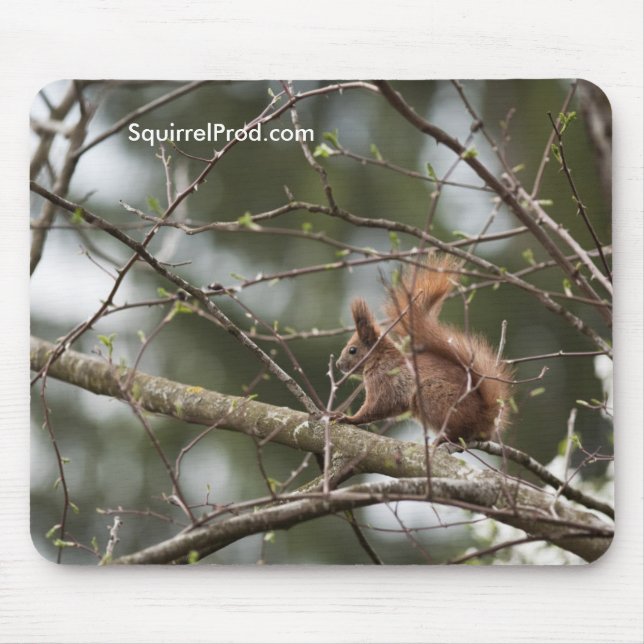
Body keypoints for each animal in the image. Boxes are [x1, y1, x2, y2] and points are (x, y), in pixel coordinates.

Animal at [335, 254, 513, 443]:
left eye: (352, 350)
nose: (338, 364)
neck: (379, 357)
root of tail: (484, 420)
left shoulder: (383, 381)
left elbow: (375, 407)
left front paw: (348, 418)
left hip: (433, 395)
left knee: (459, 431)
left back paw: (443, 438)